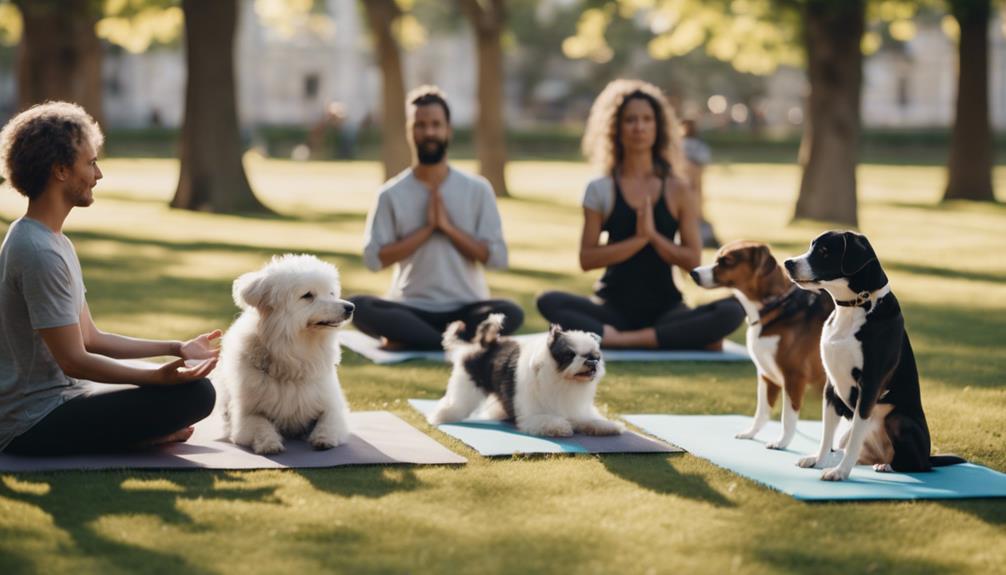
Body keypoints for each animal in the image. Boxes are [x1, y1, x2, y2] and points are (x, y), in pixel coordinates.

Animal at [214, 255, 356, 454]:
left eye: (331, 293)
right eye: (308, 295)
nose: (350, 307)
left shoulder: (332, 405)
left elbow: (329, 421)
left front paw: (324, 438)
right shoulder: (244, 414)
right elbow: (260, 424)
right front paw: (269, 443)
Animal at [428, 313, 623, 436]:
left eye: (597, 357)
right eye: (570, 355)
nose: (591, 361)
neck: (562, 381)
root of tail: (484, 344)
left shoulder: (579, 410)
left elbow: (591, 420)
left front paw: (608, 426)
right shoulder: (533, 415)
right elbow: (551, 421)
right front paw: (561, 426)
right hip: (467, 387)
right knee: (453, 404)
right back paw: (439, 417)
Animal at [780, 230, 961, 480]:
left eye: (824, 251)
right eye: (811, 246)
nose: (788, 263)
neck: (855, 307)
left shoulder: (870, 385)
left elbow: (855, 438)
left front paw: (840, 472)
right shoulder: (831, 385)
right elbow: (826, 435)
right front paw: (818, 460)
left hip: (899, 420)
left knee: (918, 465)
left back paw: (888, 465)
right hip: (853, 433)